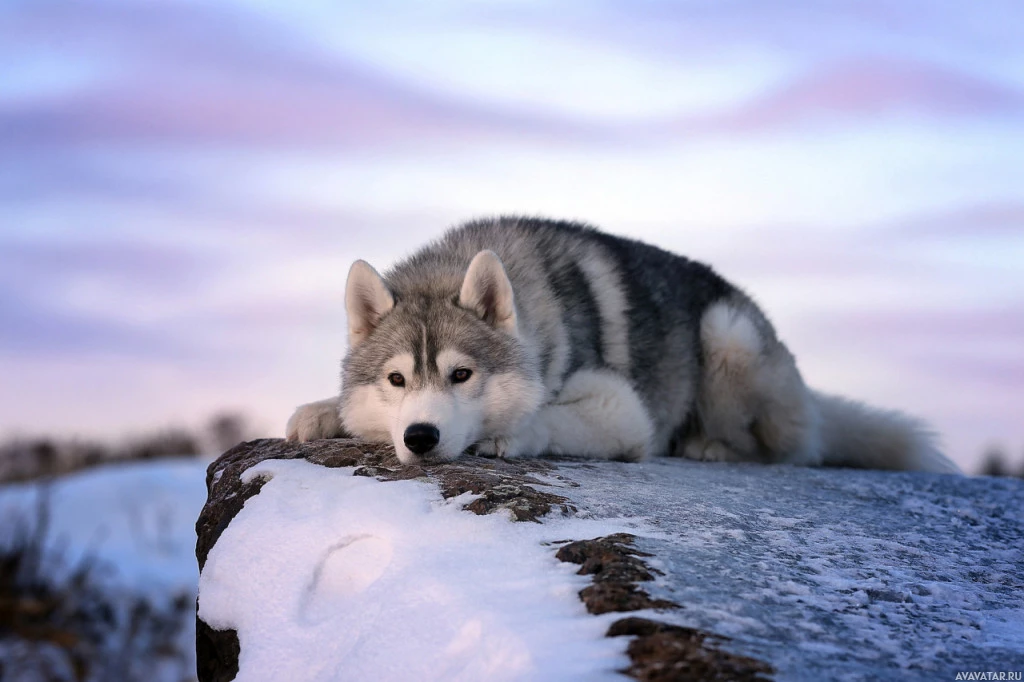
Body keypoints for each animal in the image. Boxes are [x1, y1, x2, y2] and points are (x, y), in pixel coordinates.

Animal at [286, 218, 958, 473]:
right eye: (397, 380)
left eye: (461, 375)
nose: (420, 437)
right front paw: (320, 412)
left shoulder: (622, 411)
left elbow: (546, 419)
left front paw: (510, 435)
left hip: (729, 335)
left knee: (790, 451)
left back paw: (706, 444)